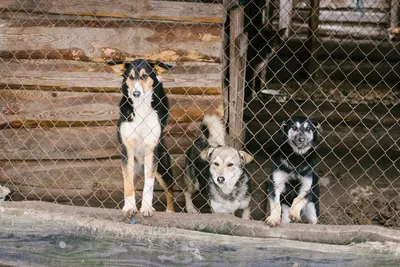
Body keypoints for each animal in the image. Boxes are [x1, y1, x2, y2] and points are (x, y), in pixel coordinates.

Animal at [111, 58, 177, 218]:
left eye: (145, 76)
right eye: (130, 77)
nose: (136, 93)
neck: (140, 107)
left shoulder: (151, 151)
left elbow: (149, 184)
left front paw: (146, 208)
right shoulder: (127, 150)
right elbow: (128, 184)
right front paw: (129, 207)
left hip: (163, 166)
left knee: (169, 189)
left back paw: (169, 211)